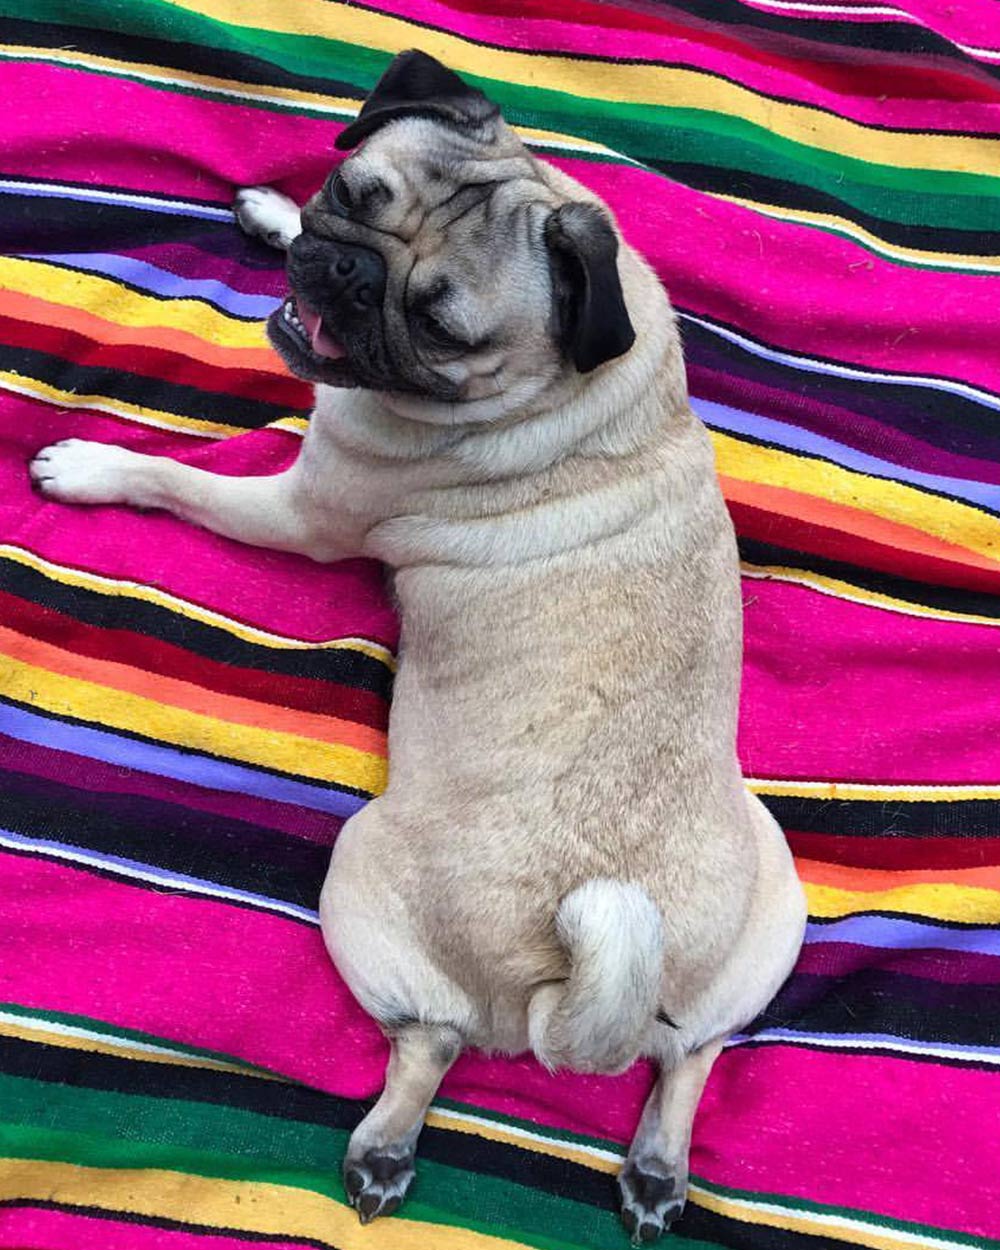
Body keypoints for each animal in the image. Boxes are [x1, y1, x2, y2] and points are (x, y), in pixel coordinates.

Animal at [29, 46, 805, 1240]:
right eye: (353, 197)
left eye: (440, 329)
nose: (349, 278)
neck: (563, 385)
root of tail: (565, 990)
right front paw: (271, 213)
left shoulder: (304, 510)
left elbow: (175, 478)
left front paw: (91, 467)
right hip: (775, 907)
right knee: (688, 1053)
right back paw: (654, 1167)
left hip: (356, 874)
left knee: (432, 1039)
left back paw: (386, 1149)